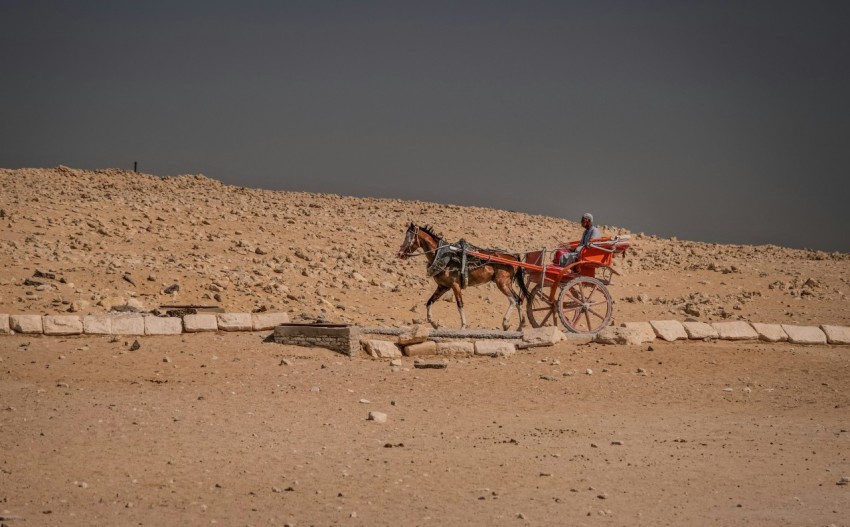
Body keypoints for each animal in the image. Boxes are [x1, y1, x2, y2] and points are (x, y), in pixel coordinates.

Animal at [396, 223, 529, 331]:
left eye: (410, 237)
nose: (400, 254)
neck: (444, 256)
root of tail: (513, 257)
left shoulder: (455, 285)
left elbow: (460, 304)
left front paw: (463, 326)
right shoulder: (443, 287)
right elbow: (429, 302)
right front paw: (433, 323)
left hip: (501, 282)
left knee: (513, 299)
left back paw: (505, 323)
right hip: (506, 283)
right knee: (519, 299)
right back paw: (520, 326)